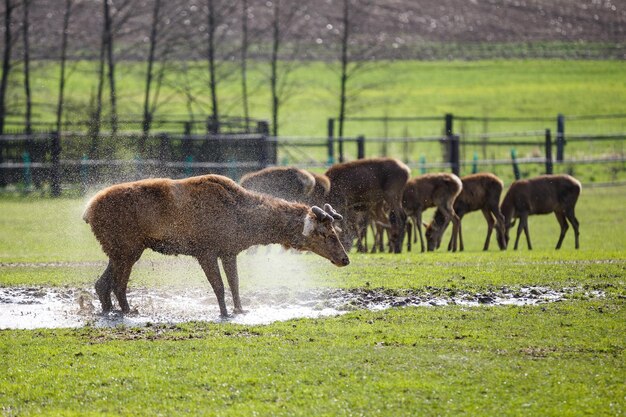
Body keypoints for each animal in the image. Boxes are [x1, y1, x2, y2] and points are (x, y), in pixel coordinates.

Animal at [80, 173, 348, 316]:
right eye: (325, 233)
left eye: (336, 231)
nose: (345, 259)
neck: (246, 226)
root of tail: (87, 212)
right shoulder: (205, 251)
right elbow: (218, 286)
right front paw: (224, 312)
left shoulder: (229, 251)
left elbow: (235, 284)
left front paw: (240, 309)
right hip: (128, 248)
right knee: (118, 284)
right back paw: (128, 310)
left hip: (120, 250)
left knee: (102, 284)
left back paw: (109, 310)